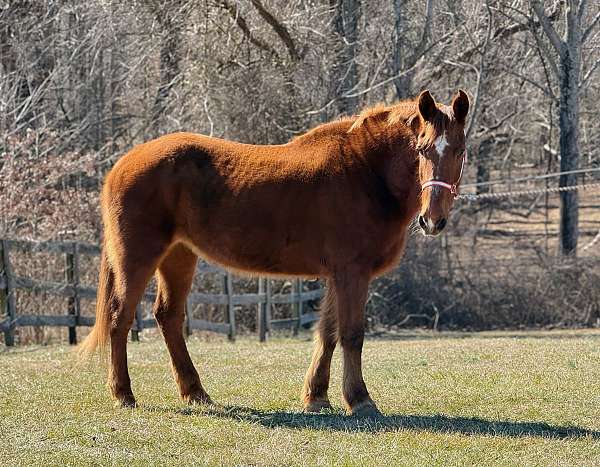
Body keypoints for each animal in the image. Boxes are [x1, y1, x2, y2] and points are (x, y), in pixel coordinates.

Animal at [79, 89, 472, 418]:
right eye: (422, 148)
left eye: (459, 150)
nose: (432, 220)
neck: (364, 171)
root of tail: (123, 163)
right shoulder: (352, 273)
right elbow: (351, 334)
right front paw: (360, 399)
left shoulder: (336, 275)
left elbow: (327, 334)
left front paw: (317, 396)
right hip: (138, 257)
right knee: (120, 318)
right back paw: (124, 394)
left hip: (179, 256)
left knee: (169, 317)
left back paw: (195, 392)